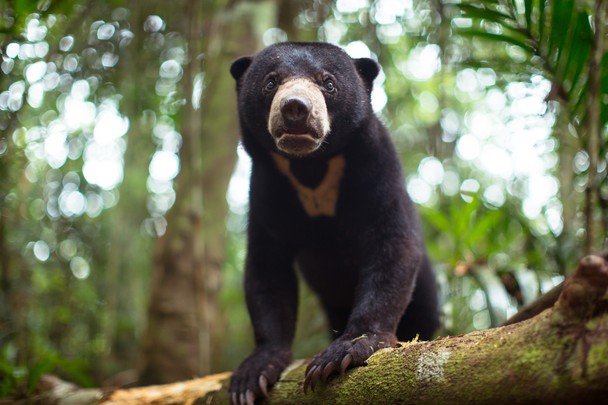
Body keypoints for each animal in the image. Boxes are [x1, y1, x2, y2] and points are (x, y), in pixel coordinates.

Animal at [228, 42, 436, 402]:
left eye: (328, 83)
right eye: (271, 82)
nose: (295, 108)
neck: (310, 167)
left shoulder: (378, 166)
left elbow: (393, 248)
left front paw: (342, 353)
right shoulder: (266, 187)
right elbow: (267, 271)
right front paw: (251, 375)